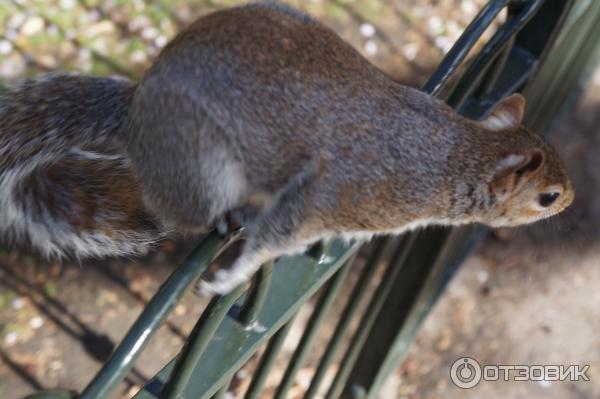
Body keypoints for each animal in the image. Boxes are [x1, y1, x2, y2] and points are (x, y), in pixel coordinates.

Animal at [0, 2, 572, 296]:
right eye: (546, 197)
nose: (569, 202)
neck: (453, 154)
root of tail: (136, 111)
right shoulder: (339, 193)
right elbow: (277, 236)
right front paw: (231, 277)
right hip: (201, 164)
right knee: (179, 212)